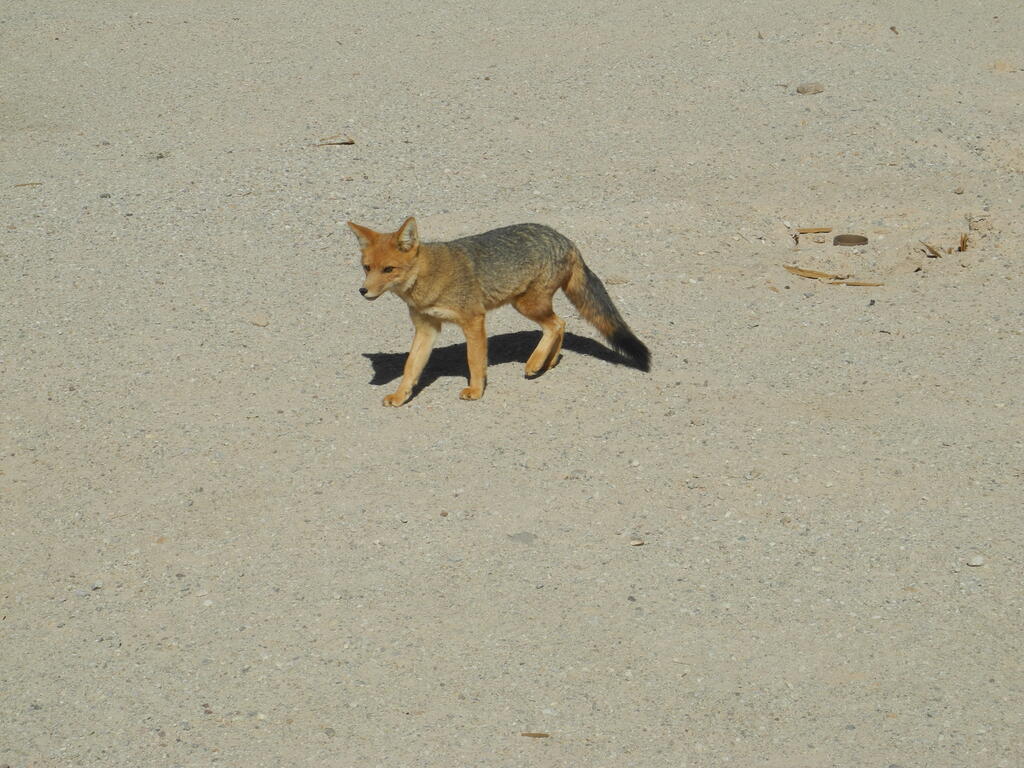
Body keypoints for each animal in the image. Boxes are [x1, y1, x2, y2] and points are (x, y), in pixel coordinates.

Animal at [347, 216, 650, 406]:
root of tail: (565, 239)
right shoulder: (426, 328)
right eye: (367, 268)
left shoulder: (473, 320)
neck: (429, 277)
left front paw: (476, 390)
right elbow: (411, 366)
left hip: (526, 304)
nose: (363, 291)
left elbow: (474, 361)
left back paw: (534, 363)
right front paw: (400, 396)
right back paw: (548, 362)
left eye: (389, 269)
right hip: (528, 304)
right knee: (560, 325)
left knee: (556, 324)